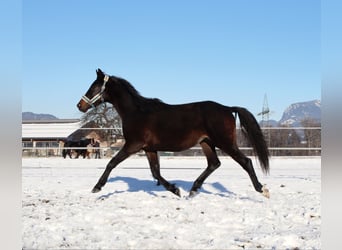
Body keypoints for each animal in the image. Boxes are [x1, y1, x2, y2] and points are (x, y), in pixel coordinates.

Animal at [77, 69, 270, 198]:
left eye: (93, 87)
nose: (80, 105)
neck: (137, 111)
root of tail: (227, 108)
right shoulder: (149, 149)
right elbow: (155, 172)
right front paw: (175, 189)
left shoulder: (133, 145)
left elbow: (111, 163)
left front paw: (97, 187)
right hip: (206, 142)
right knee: (214, 163)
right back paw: (193, 190)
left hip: (225, 142)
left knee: (246, 162)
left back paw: (262, 189)